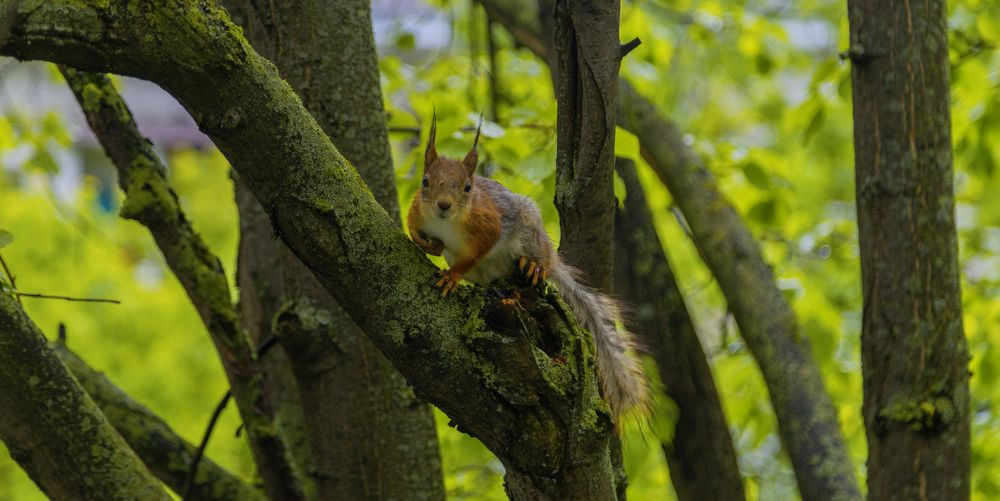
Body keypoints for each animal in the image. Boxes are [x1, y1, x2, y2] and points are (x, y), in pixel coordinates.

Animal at [407, 116, 649, 420]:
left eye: (467, 187)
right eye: (425, 181)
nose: (443, 205)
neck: (446, 224)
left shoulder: (488, 226)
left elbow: (474, 254)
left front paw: (452, 276)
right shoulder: (418, 211)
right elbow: (412, 227)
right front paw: (428, 245)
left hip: (531, 234)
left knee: (539, 260)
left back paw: (534, 266)